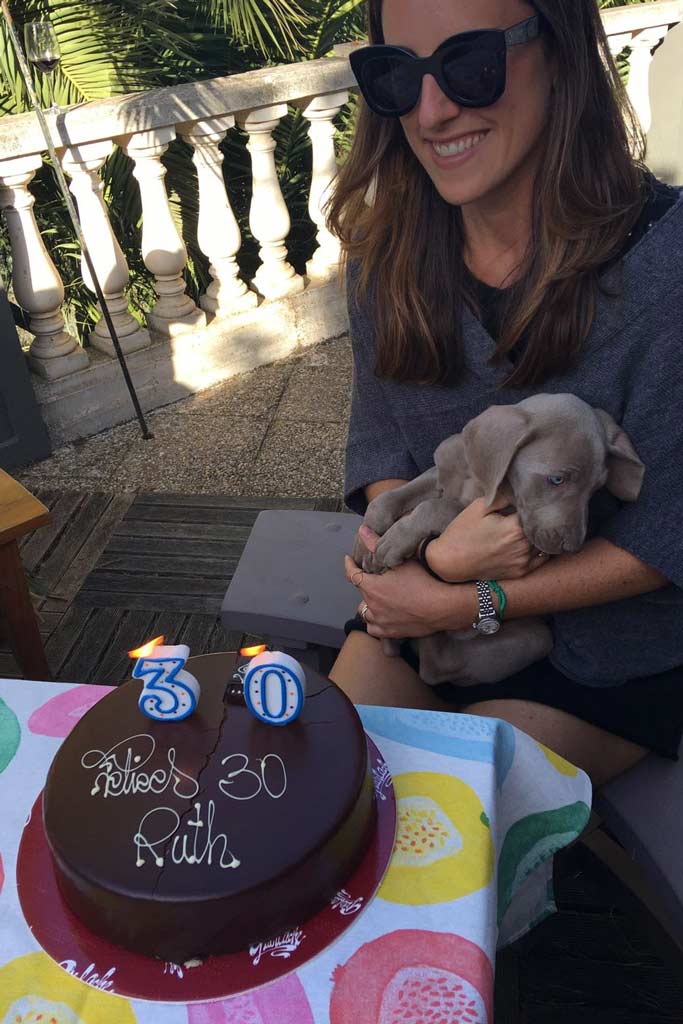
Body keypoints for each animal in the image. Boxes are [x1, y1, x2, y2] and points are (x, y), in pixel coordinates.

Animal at [352, 393, 647, 688]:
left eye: (596, 489)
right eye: (557, 479)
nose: (572, 548)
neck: (476, 477)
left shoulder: (491, 515)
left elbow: (438, 507)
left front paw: (394, 542)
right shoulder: (438, 473)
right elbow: (388, 499)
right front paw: (365, 543)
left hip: (537, 638)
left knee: (434, 666)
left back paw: (422, 630)